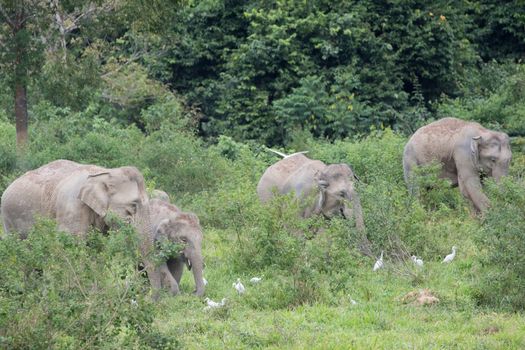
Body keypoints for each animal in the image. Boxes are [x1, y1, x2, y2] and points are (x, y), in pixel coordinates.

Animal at [0, 160, 163, 296]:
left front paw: (94, 294)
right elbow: (73, 248)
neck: (104, 172)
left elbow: (96, 250)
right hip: (10, 221)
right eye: (133, 206)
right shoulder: (72, 208)